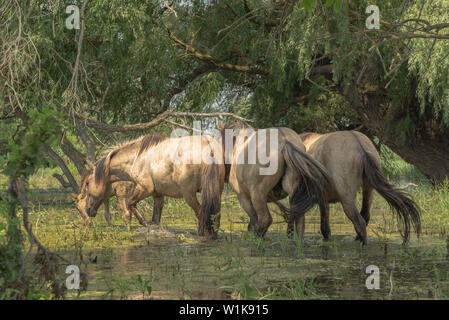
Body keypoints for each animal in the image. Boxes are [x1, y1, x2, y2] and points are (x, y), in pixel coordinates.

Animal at [76, 131, 228, 239]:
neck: (137, 157)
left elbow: (130, 204)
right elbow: (156, 219)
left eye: (88, 183)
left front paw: (144, 223)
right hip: (215, 192)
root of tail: (208, 144)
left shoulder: (145, 189)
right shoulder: (158, 195)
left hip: (189, 195)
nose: (88, 210)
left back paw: (203, 234)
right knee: (215, 214)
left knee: (201, 213)